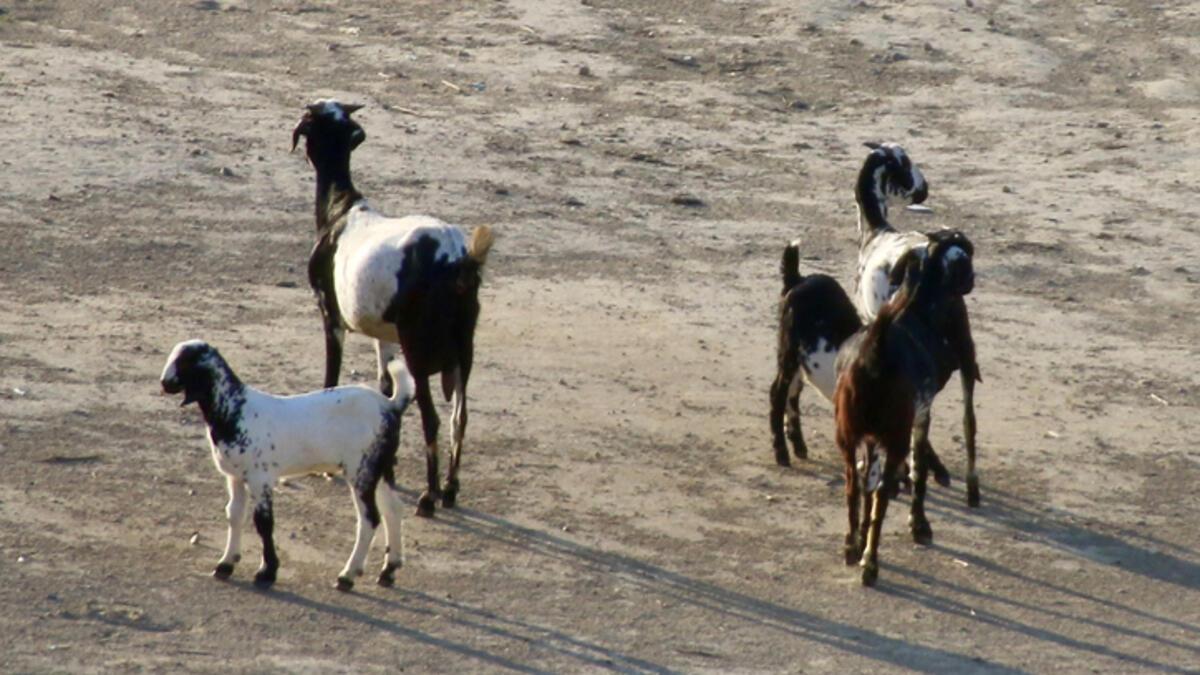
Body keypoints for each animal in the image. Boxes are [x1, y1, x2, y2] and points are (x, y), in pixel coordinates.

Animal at [159, 338, 415, 586]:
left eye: (185, 362)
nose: (164, 382)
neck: (235, 410)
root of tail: (391, 405)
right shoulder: (235, 477)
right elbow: (234, 514)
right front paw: (226, 564)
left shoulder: (260, 477)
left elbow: (263, 522)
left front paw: (267, 571)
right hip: (381, 466)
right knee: (393, 509)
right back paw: (389, 570)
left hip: (361, 470)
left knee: (370, 518)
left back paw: (347, 575)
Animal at [292, 98, 494, 514]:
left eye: (309, 121)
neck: (341, 210)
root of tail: (458, 260)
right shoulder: (382, 332)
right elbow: (386, 385)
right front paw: (391, 465)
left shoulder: (330, 316)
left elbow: (330, 379)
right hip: (464, 349)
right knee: (460, 417)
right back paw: (450, 489)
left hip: (418, 348)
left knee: (433, 418)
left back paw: (430, 497)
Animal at [835, 229, 974, 583]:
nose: (973, 279)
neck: (918, 308)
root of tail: (876, 350)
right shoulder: (921, 417)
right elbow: (919, 471)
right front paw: (919, 524)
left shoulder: (870, 440)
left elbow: (867, 488)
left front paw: (859, 538)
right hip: (895, 438)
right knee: (881, 494)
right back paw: (870, 563)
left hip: (848, 438)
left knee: (853, 487)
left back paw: (852, 547)